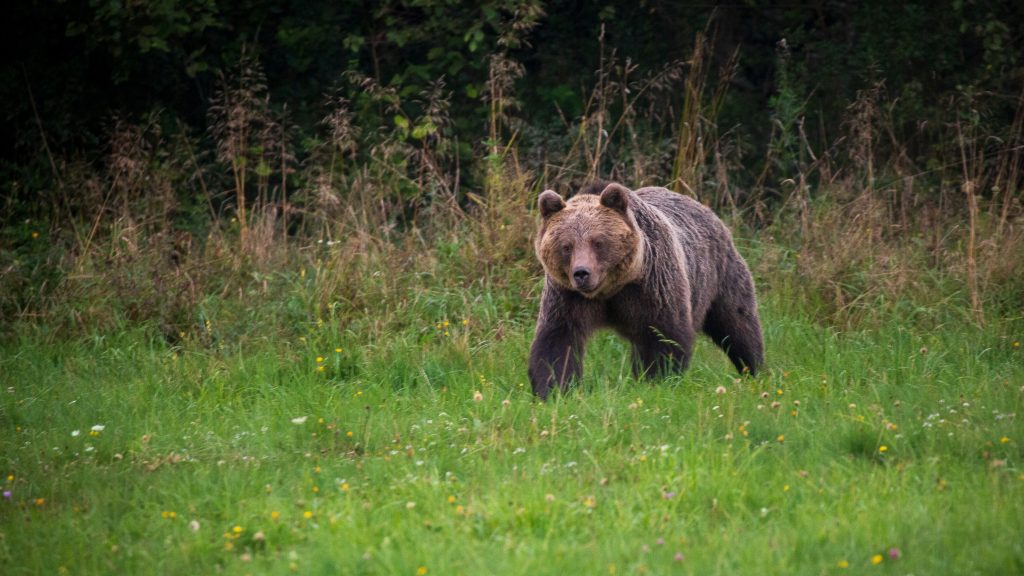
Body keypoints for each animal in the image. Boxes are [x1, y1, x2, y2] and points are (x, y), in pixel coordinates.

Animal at [532, 181, 765, 397]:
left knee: (737, 324)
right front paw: (553, 389)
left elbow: (663, 336)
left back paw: (755, 369)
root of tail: (706, 209)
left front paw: (656, 380)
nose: (581, 273)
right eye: (566, 246)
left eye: (598, 242)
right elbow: (558, 340)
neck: (611, 289)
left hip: (720, 275)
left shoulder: (651, 287)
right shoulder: (568, 296)